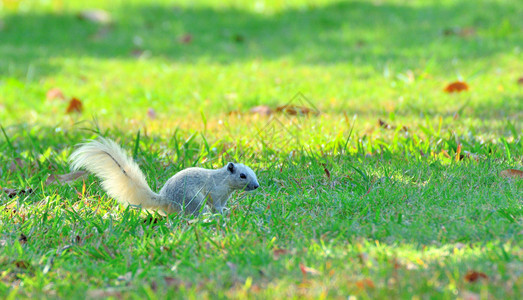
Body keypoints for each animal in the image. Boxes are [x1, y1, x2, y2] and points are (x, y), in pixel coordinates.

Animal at [67, 137, 260, 217]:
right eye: (242, 175)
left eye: (253, 173)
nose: (256, 186)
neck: (225, 180)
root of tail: (166, 200)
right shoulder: (216, 192)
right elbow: (216, 205)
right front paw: (222, 214)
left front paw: (227, 210)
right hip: (193, 200)